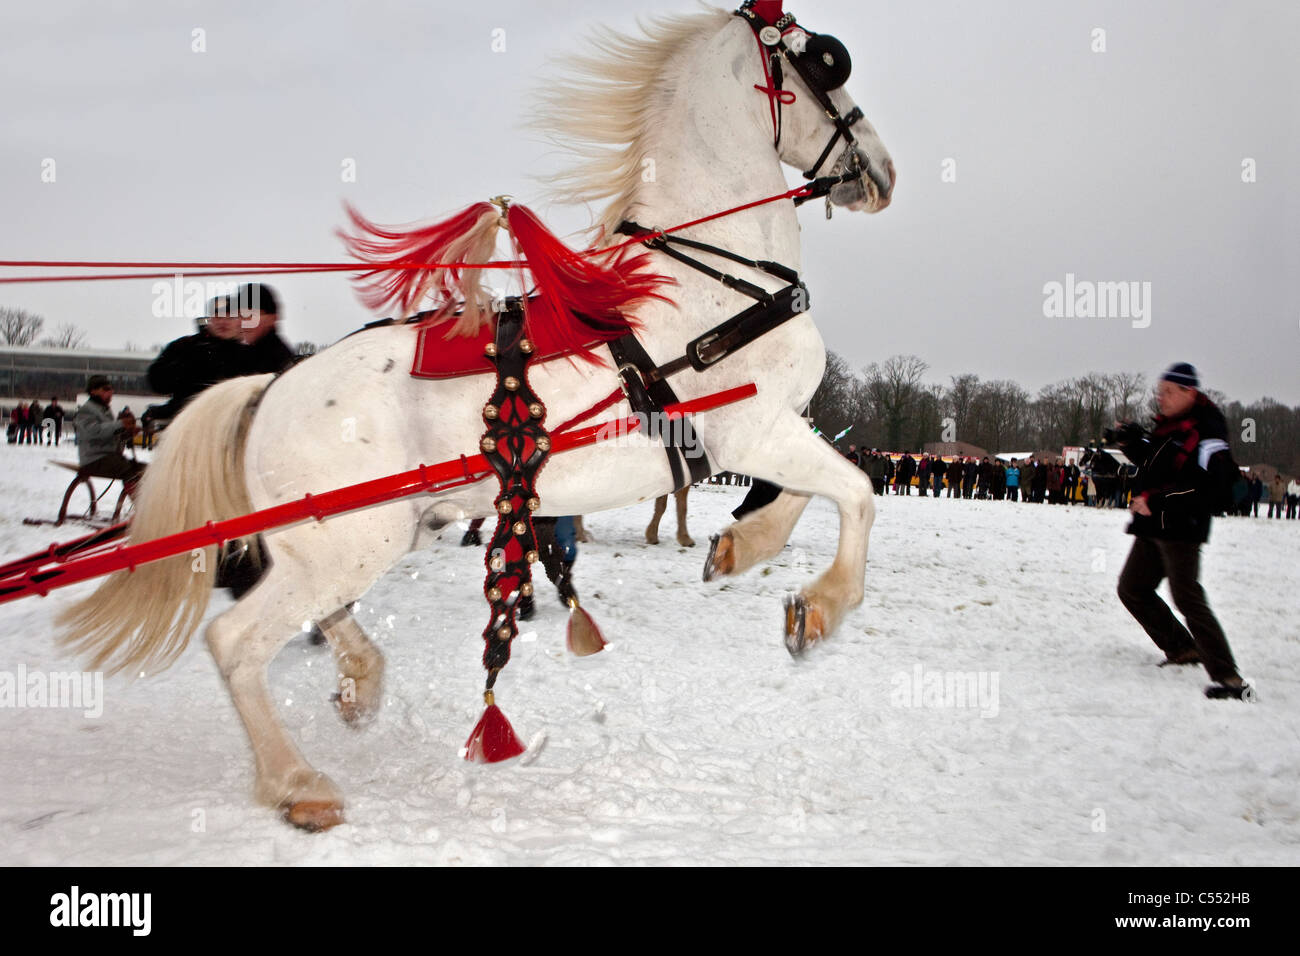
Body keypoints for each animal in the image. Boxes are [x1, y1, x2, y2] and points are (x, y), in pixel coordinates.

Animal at [61, 5, 894, 832]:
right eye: (828, 61)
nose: (882, 171)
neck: (712, 279)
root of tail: (271, 385)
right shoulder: (751, 429)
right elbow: (856, 493)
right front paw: (822, 608)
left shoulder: (768, 432)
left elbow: (801, 497)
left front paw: (739, 548)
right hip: (351, 540)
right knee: (236, 640)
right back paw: (298, 784)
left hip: (355, 537)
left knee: (319, 617)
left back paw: (360, 682)